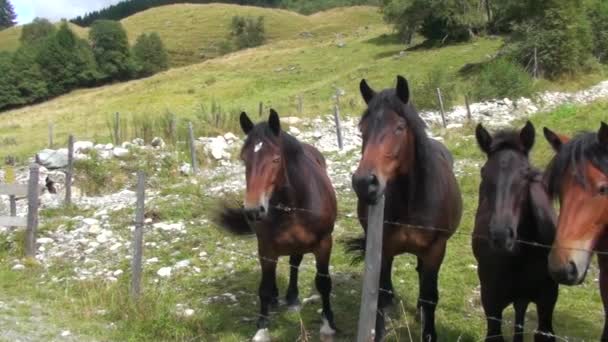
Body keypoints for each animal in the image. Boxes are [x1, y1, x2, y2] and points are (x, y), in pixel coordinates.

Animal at [215, 109, 340, 342]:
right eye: (244, 159)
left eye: (275, 159)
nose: (253, 210)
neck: (294, 203)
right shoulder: (266, 247)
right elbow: (263, 288)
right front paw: (262, 328)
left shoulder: (324, 244)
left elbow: (323, 283)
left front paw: (328, 323)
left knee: (294, 263)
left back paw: (291, 296)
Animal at [350, 75, 464, 342]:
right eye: (362, 130)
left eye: (399, 128)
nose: (364, 183)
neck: (412, 202)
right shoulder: (383, 249)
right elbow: (380, 295)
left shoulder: (436, 250)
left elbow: (430, 296)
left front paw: (429, 333)